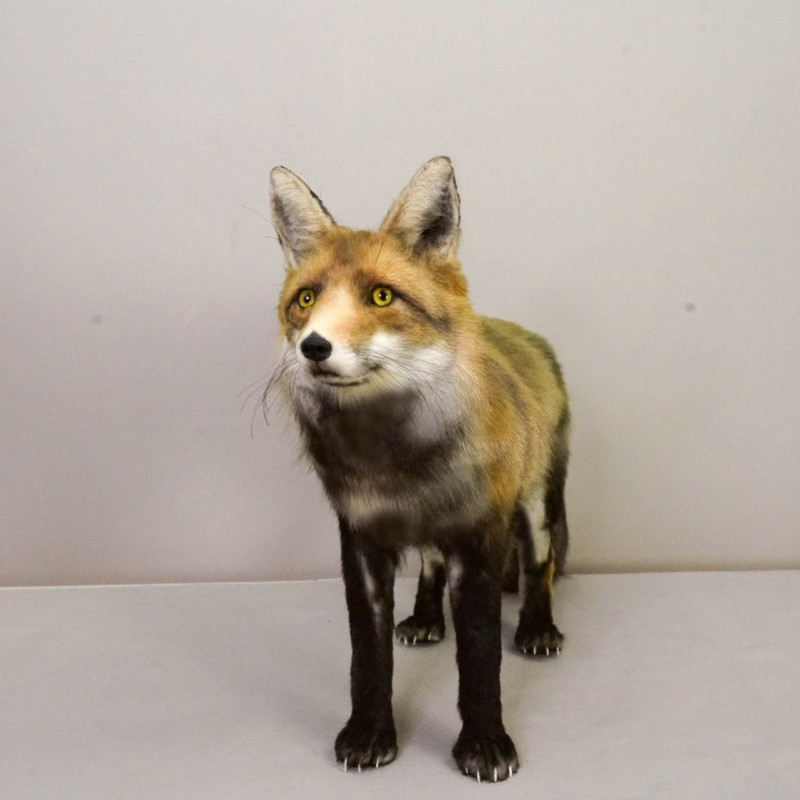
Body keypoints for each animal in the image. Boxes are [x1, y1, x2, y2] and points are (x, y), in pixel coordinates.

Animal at [267, 156, 570, 783]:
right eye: (306, 300)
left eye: (382, 296)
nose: (314, 348)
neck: (396, 467)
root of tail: (518, 332)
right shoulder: (359, 541)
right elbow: (367, 658)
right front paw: (369, 734)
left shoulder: (479, 540)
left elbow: (479, 657)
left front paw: (485, 744)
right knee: (429, 564)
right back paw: (427, 618)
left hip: (536, 508)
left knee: (541, 569)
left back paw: (536, 628)